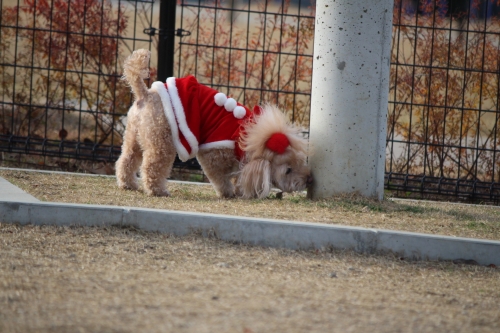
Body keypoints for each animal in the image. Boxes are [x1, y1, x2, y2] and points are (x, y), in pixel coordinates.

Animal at [116, 48, 312, 197]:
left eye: (301, 162)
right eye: (288, 170)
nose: (308, 180)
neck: (248, 138)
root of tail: (145, 94)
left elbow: (238, 175)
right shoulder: (212, 154)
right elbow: (220, 177)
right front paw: (228, 192)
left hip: (135, 136)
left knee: (126, 159)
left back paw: (127, 184)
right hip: (161, 141)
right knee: (152, 166)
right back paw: (158, 190)